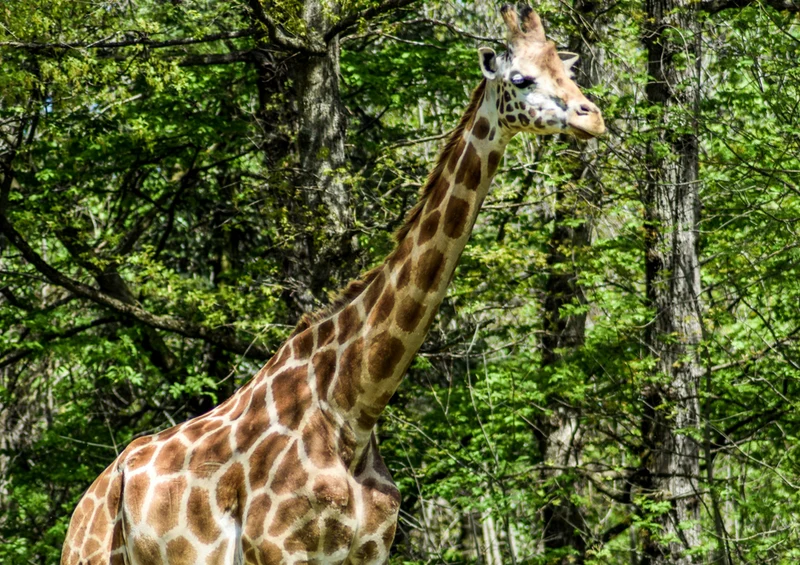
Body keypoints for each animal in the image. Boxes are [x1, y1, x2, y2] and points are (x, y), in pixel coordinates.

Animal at [61, 6, 604, 565]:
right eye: (521, 78)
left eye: (567, 72)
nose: (593, 117)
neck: (353, 409)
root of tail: (89, 498)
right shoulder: (277, 549)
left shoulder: (370, 551)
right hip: (86, 553)